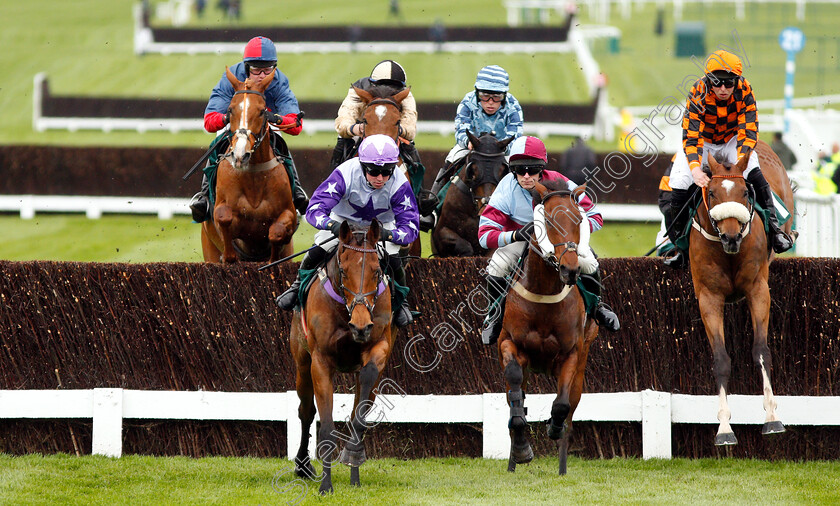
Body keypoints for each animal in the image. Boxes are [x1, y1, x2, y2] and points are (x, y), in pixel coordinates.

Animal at [288, 218, 394, 494]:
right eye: (344, 271)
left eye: (376, 271)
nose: (360, 326)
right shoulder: (320, 361)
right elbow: (325, 426)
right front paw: (326, 485)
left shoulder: (379, 347)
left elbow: (361, 410)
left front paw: (354, 454)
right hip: (301, 364)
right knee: (305, 411)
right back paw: (303, 466)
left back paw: (355, 477)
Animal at [498, 179, 596, 474]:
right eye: (549, 221)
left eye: (579, 219)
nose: (570, 270)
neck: (543, 295)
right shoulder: (508, 342)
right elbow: (516, 394)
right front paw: (521, 449)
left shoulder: (571, 353)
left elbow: (562, 404)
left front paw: (554, 428)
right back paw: (513, 459)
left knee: (571, 408)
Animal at [688, 140, 796, 444]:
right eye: (712, 193)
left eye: (745, 193)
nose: (732, 237)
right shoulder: (709, 298)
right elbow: (721, 359)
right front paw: (724, 427)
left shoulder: (758, 289)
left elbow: (761, 350)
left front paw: (772, 417)